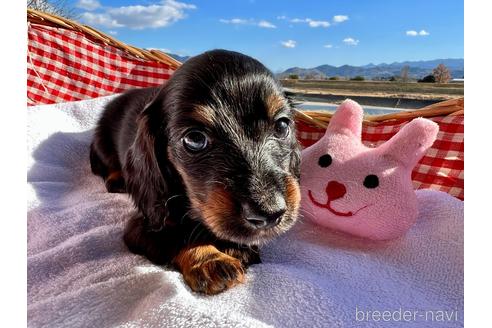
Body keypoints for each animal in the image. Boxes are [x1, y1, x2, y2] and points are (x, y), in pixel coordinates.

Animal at [90, 48, 302, 294]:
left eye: (282, 126)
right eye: (195, 139)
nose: (270, 214)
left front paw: (235, 246)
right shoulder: (145, 225)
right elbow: (178, 235)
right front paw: (209, 260)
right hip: (101, 143)